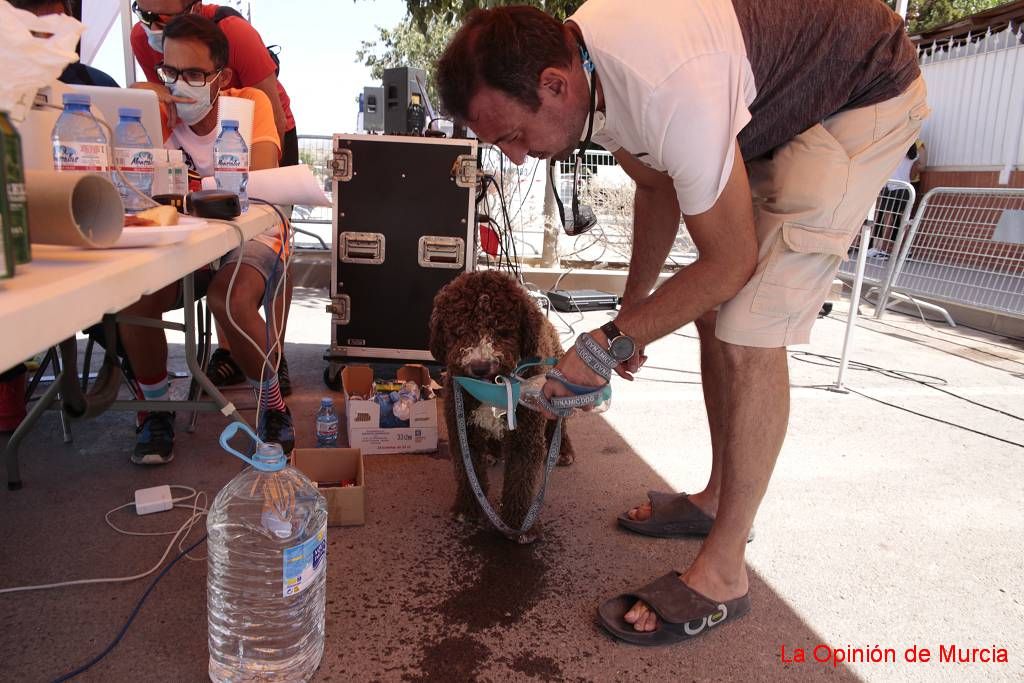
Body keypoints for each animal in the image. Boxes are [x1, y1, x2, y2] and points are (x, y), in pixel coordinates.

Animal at [428, 270, 573, 540]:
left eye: (503, 331)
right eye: (459, 331)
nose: (480, 366)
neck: (494, 386)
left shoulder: (526, 434)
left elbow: (520, 478)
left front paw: (519, 523)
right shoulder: (462, 428)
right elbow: (467, 470)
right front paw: (468, 508)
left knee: (560, 425)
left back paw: (564, 451)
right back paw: (492, 453)